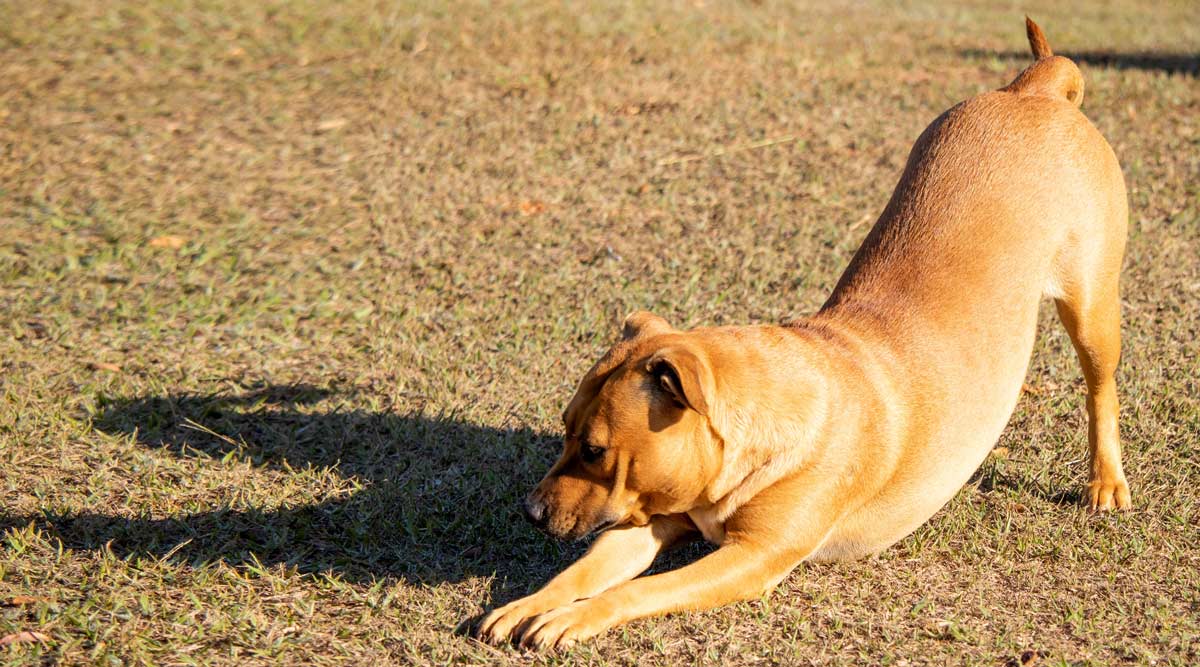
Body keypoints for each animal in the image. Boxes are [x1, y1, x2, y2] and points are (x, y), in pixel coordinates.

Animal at [472, 19, 1128, 652]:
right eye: (563, 429)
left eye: (595, 450)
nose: (530, 512)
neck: (762, 423)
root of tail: (1034, 89)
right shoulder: (648, 519)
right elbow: (580, 573)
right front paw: (529, 604)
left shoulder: (752, 557)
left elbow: (633, 592)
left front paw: (569, 619)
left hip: (1092, 305)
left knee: (1101, 390)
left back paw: (1106, 483)